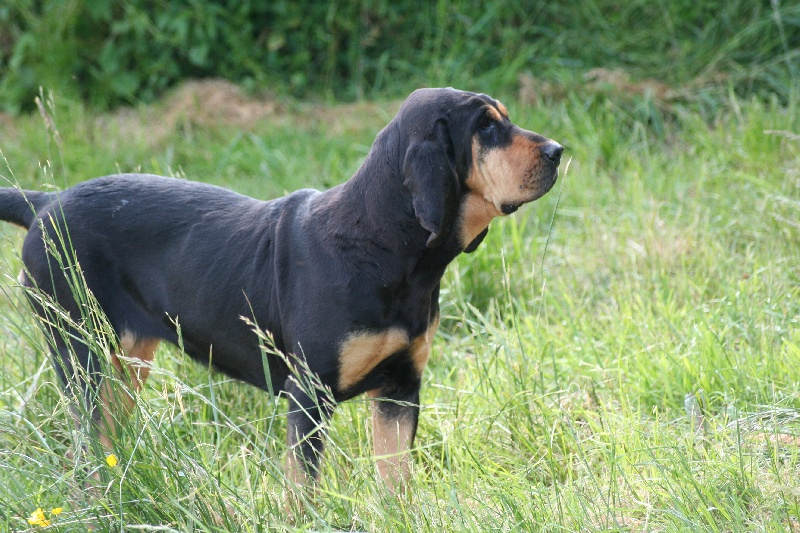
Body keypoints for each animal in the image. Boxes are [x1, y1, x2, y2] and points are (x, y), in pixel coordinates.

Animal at [1, 87, 564, 490]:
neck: (385, 245)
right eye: (486, 128)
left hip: (127, 361)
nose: (560, 150)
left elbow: (396, 483)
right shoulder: (309, 395)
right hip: (81, 356)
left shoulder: (401, 391)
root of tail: (44, 202)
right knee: (83, 449)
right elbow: (302, 489)